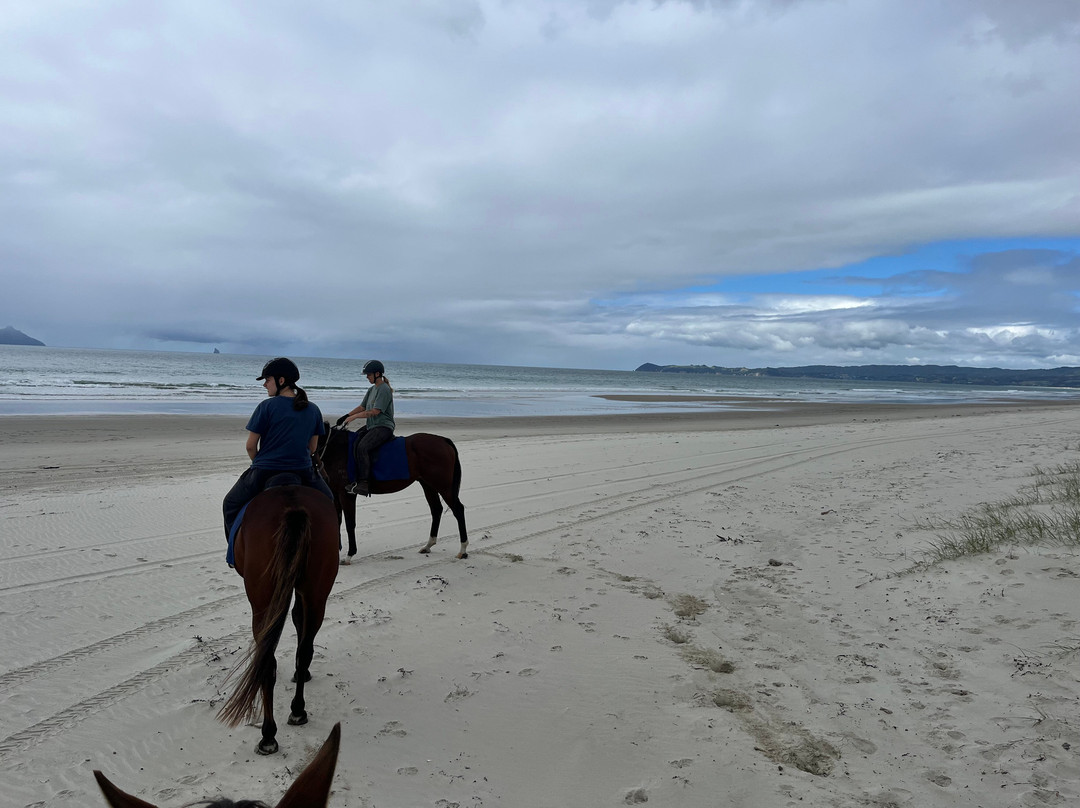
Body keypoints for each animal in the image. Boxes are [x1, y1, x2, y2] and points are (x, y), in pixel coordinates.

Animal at [217, 484, 340, 755]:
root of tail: (292, 504)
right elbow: (298, 624)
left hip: (262, 601)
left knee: (267, 661)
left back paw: (268, 735)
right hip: (317, 594)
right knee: (305, 649)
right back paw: (298, 709)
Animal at [315, 424, 468, 560]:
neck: (336, 448)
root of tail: (443, 440)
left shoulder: (346, 494)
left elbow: (349, 523)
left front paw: (349, 554)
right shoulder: (335, 494)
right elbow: (337, 521)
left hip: (444, 487)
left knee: (458, 509)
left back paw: (463, 550)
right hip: (428, 485)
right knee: (436, 509)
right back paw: (428, 545)